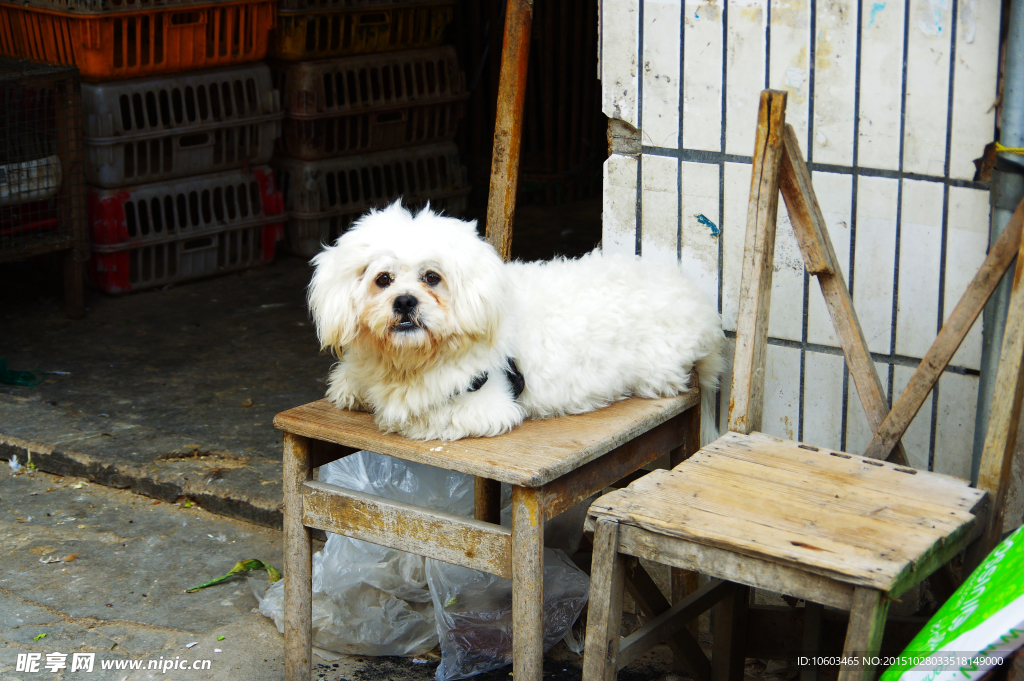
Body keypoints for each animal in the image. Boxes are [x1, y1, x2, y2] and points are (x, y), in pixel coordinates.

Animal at [307, 200, 724, 440]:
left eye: (432, 277)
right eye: (383, 279)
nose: (405, 301)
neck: (408, 360)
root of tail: (700, 306)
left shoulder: (481, 407)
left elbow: (407, 413)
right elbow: (349, 382)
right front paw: (352, 387)